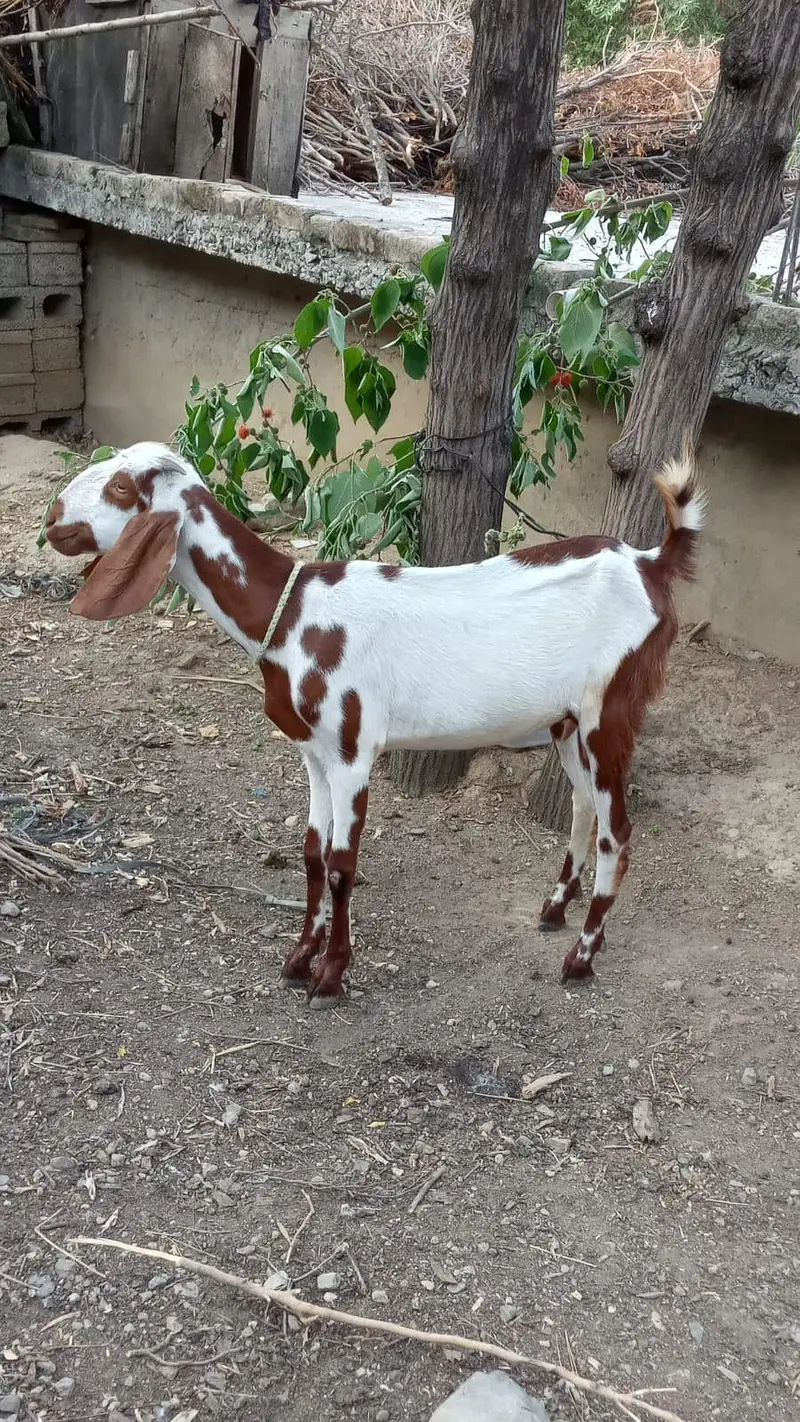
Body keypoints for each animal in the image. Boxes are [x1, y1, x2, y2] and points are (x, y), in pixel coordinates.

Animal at [46, 441, 705, 1005]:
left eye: (122, 486)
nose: (52, 519)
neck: (293, 614)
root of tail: (650, 563)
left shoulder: (352, 749)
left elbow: (342, 866)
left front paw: (331, 976)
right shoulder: (313, 753)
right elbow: (312, 854)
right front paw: (298, 959)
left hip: (609, 711)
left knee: (617, 830)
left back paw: (581, 958)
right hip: (566, 721)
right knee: (582, 805)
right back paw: (553, 910)